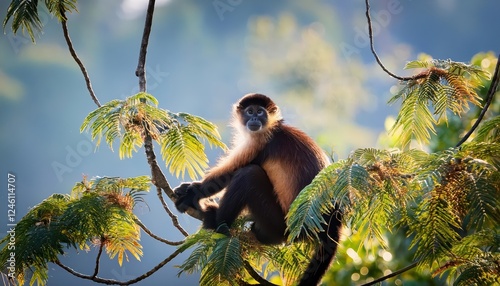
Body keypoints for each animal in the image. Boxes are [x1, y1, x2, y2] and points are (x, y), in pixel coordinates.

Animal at [174, 94, 342, 286]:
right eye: (250, 111)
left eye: (260, 112)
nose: (254, 119)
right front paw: (188, 189)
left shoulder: (260, 140)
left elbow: (227, 175)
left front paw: (192, 194)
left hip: (280, 223)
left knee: (249, 174)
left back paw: (217, 222)